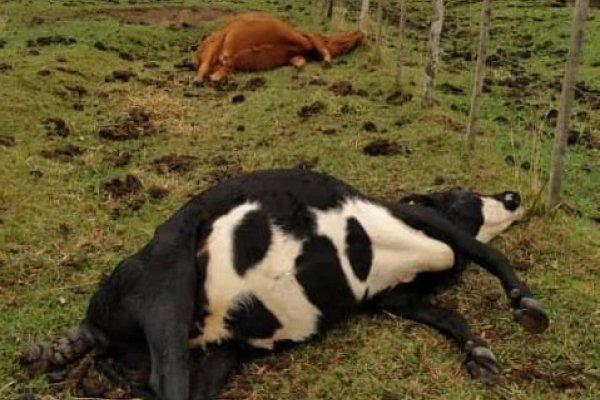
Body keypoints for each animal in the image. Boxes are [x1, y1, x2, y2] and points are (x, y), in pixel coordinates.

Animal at [19, 170, 548, 400]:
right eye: (460, 191)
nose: (513, 195)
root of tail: (98, 331)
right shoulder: (418, 220)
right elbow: (486, 252)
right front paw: (524, 300)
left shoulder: (393, 296)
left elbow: (448, 314)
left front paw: (479, 352)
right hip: (169, 282)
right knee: (164, 384)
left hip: (218, 355)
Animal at [195, 12, 364, 80]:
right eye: (343, 33)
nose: (360, 31)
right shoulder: (306, 36)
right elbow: (322, 48)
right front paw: (327, 61)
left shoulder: (294, 55)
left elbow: (300, 61)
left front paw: (298, 69)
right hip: (220, 37)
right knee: (207, 66)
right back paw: (199, 79)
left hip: (222, 57)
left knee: (218, 70)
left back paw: (214, 77)